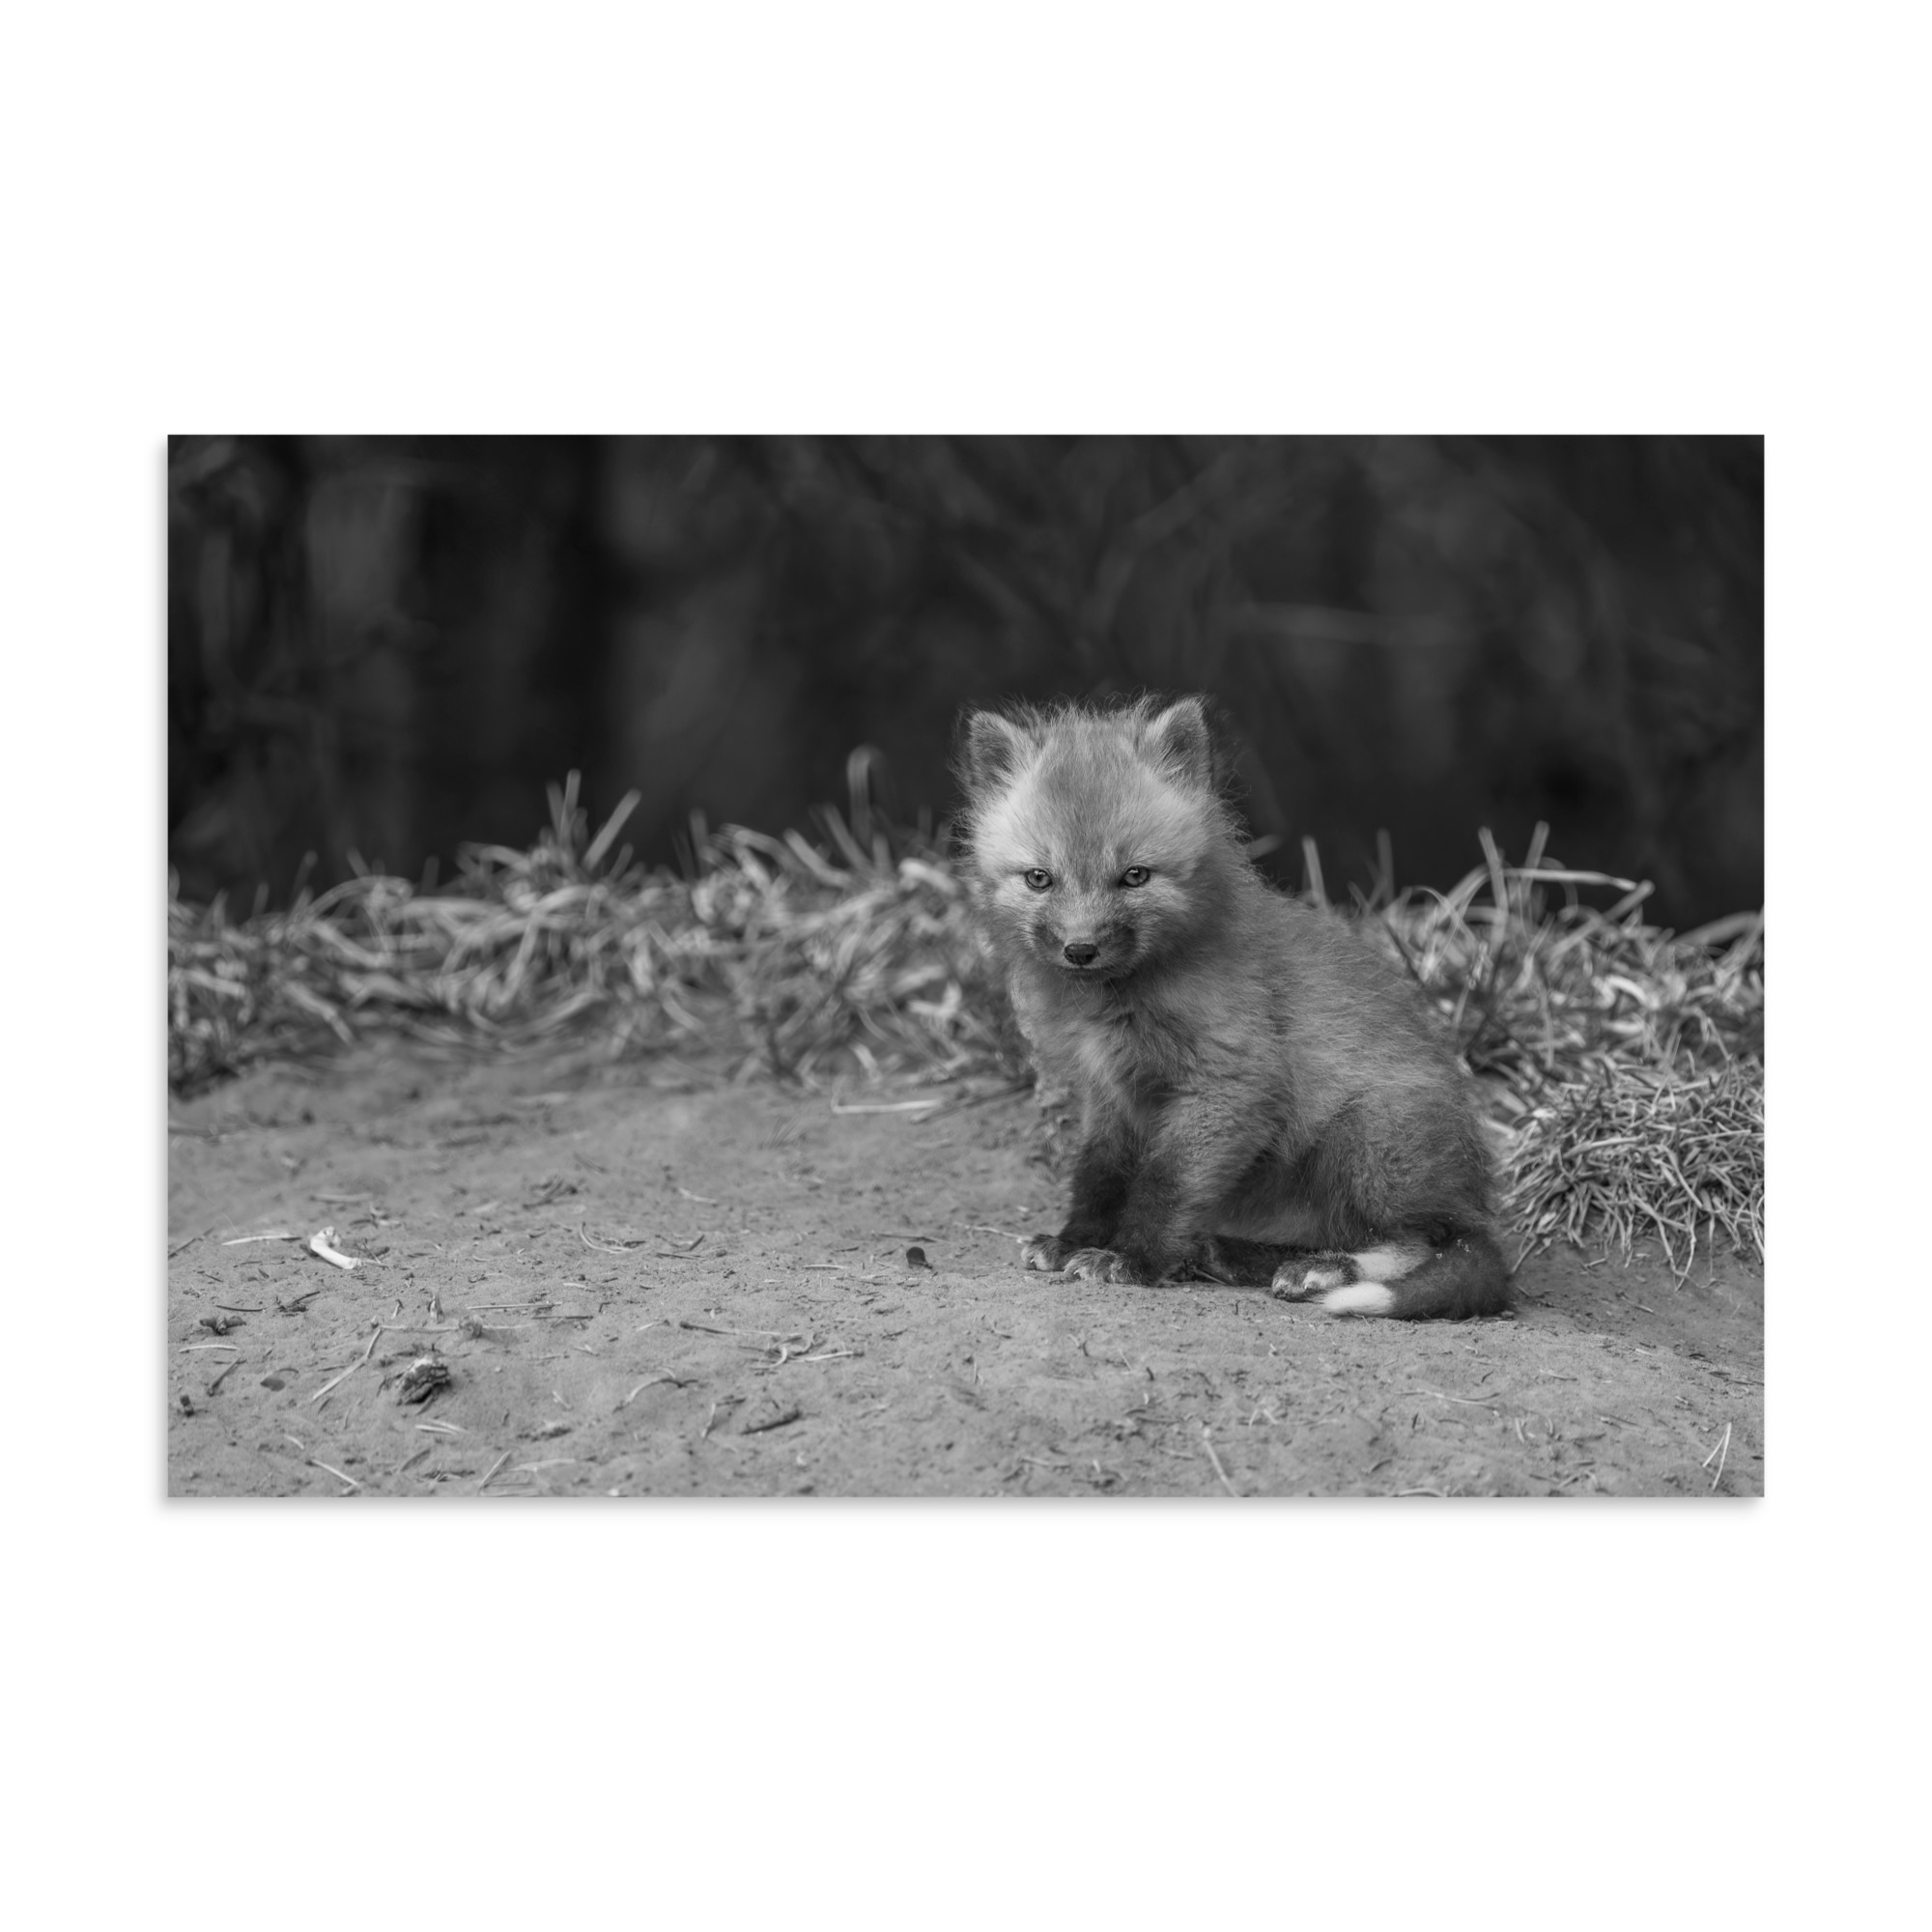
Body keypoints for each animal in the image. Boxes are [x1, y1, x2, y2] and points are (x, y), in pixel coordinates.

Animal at [955, 693, 1509, 1319]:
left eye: (1135, 876)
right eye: (1039, 878)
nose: (1080, 949)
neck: (1119, 1003)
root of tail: (1474, 1197)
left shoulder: (1230, 1084)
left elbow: (1164, 1184)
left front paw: (1132, 1259)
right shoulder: (1110, 1094)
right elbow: (1099, 1176)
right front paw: (1075, 1240)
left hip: (1366, 1139)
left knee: (1426, 1242)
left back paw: (1322, 1270)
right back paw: (1233, 1255)